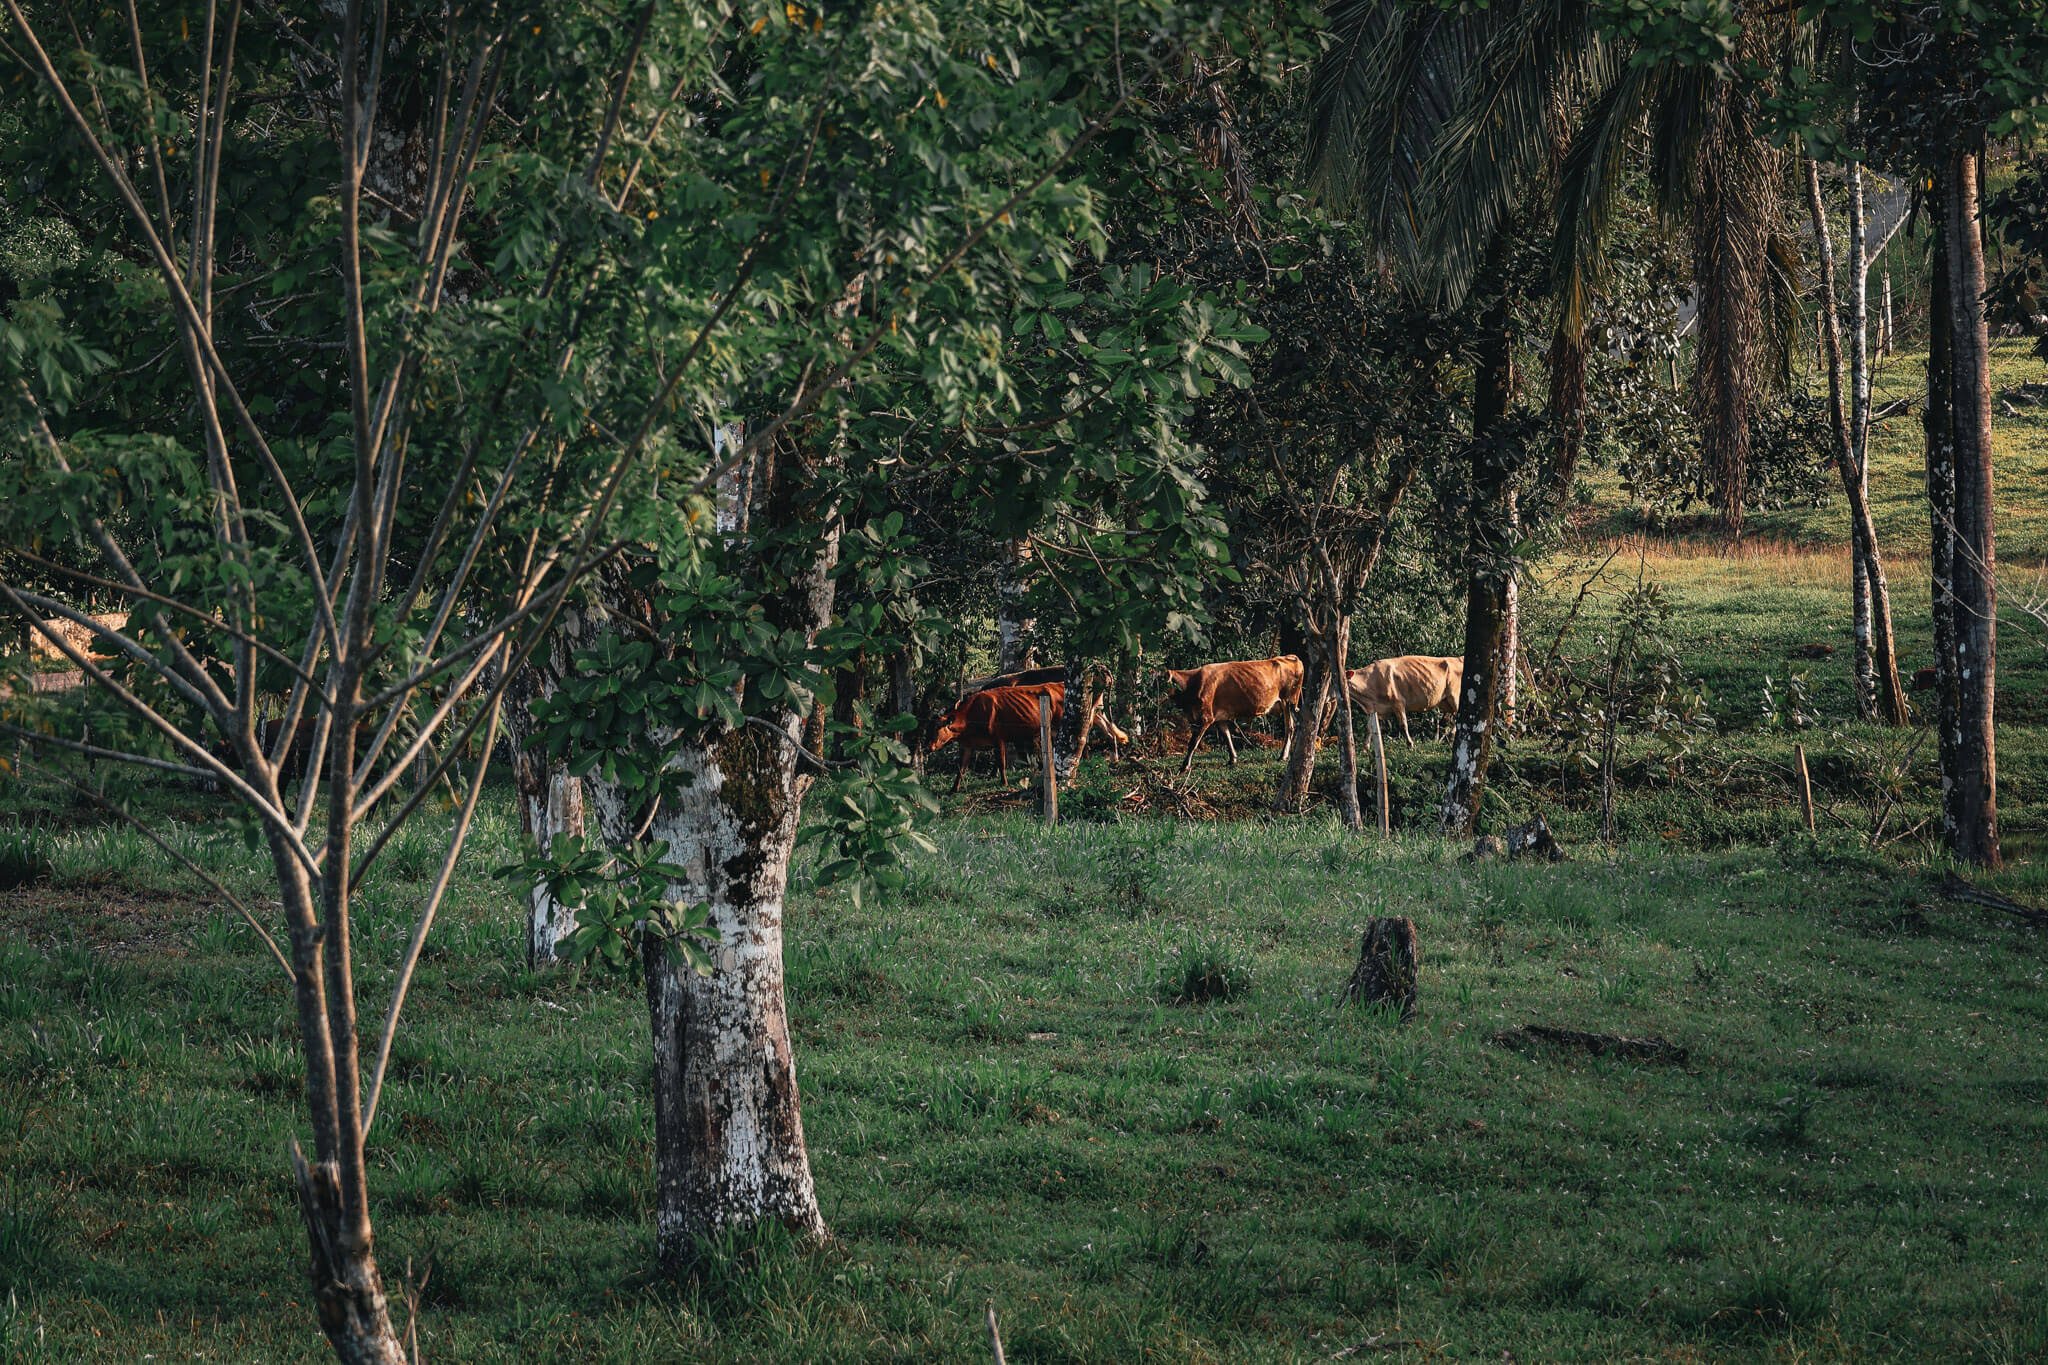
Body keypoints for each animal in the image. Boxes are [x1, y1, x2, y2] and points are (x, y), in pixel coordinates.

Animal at [929, 682, 1130, 792]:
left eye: (939, 728)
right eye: (929, 728)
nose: (929, 747)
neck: (971, 716)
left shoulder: (999, 738)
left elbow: (1001, 763)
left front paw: (1004, 782)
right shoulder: (968, 744)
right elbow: (961, 768)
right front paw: (953, 789)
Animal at [1159, 654, 1305, 773]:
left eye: (1162, 683)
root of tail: (1290, 657)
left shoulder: (1205, 717)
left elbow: (1193, 743)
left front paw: (1184, 766)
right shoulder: (1219, 717)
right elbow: (1227, 735)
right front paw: (1233, 759)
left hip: (1289, 701)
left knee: (1291, 727)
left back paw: (1284, 755)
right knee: (1295, 725)